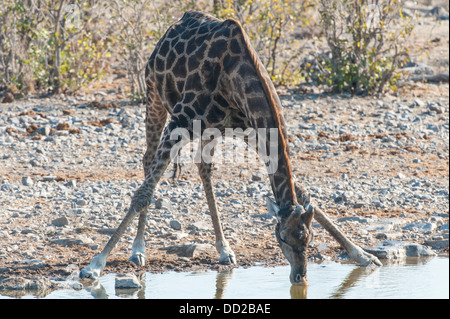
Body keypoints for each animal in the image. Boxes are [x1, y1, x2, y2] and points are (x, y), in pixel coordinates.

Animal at [80, 10, 380, 284]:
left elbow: (305, 191)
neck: (235, 76)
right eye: (282, 237)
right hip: (154, 96)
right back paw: (138, 250)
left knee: (203, 168)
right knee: (148, 161)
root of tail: (174, 25)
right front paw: (94, 265)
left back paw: (224, 250)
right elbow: (143, 194)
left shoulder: (252, 129)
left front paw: (362, 254)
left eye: (309, 238)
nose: (299, 277)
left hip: (210, 128)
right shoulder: (180, 121)